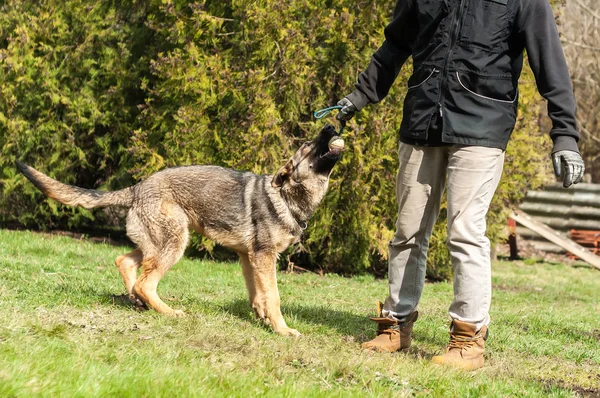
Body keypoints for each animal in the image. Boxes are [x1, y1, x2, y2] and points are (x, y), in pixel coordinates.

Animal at [16, 124, 344, 336]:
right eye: (306, 147)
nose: (330, 126)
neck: (287, 197)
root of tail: (137, 188)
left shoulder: (248, 258)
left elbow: (258, 294)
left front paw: (262, 317)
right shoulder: (263, 258)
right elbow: (273, 297)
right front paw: (282, 329)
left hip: (156, 243)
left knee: (126, 264)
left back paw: (138, 303)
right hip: (174, 243)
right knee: (145, 282)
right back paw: (167, 312)